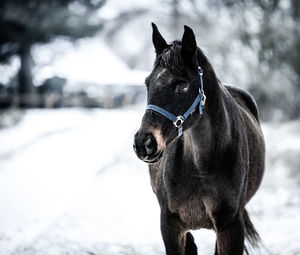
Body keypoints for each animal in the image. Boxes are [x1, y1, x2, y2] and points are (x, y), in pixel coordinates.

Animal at [134, 22, 264, 254]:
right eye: (148, 83)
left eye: (182, 86)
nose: (144, 144)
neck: (201, 166)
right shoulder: (170, 225)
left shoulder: (231, 227)